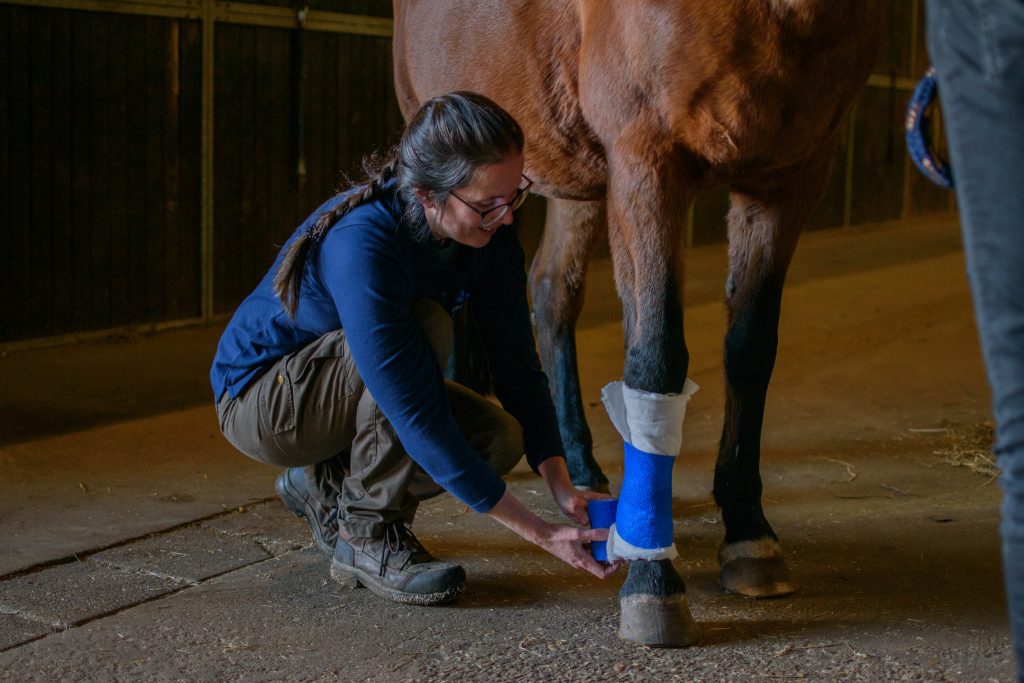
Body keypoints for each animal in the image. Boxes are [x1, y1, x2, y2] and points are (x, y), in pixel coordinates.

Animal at [391, 0, 880, 647]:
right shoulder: (647, 156)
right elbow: (657, 356)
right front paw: (653, 579)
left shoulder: (790, 173)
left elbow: (750, 350)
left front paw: (748, 533)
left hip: (572, 177)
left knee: (552, 290)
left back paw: (579, 463)